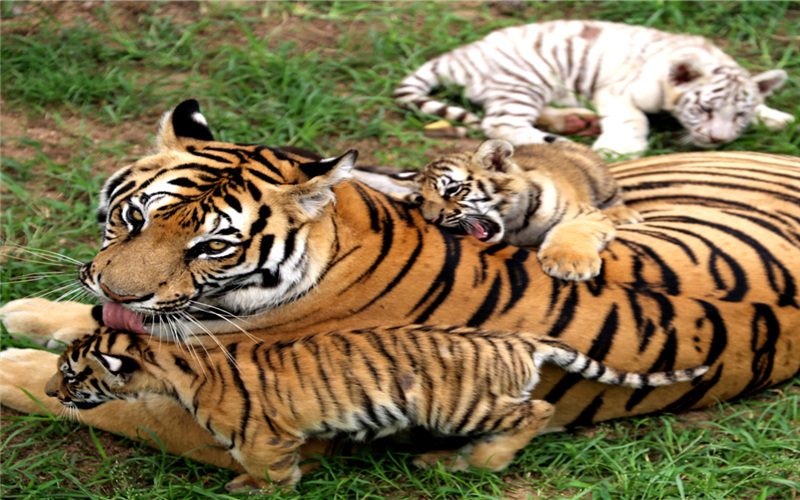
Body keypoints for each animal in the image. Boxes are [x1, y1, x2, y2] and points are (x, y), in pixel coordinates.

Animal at [1, 99, 800, 470]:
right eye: (133, 216)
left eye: (214, 246)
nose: (121, 292)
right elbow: (89, 331)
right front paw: (28, 310)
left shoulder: (229, 417)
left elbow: (100, 400)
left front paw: (16, 362)